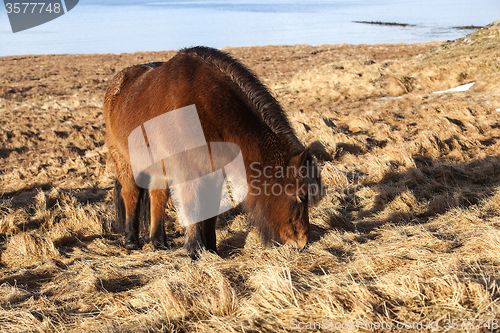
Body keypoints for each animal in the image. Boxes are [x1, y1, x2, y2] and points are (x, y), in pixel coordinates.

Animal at [105, 45, 324, 258]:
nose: (302, 242)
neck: (207, 107)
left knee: (157, 195)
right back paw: (131, 240)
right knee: (131, 193)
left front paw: (210, 249)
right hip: (124, 161)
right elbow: (192, 206)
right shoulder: (187, 171)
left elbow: (211, 209)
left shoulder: (215, 171)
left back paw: (159, 242)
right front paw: (195, 250)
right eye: (301, 196)